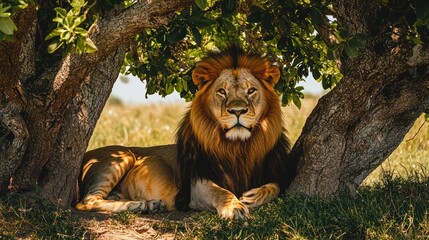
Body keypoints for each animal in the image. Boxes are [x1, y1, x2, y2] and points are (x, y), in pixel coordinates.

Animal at [75, 45, 296, 219]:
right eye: (221, 92)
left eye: (251, 91)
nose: (237, 111)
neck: (239, 148)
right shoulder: (196, 185)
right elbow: (221, 192)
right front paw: (235, 208)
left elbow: (275, 186)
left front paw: (252, 196)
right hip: (122, 156)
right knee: (87, 202)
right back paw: (138, 205)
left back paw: (147, 205)